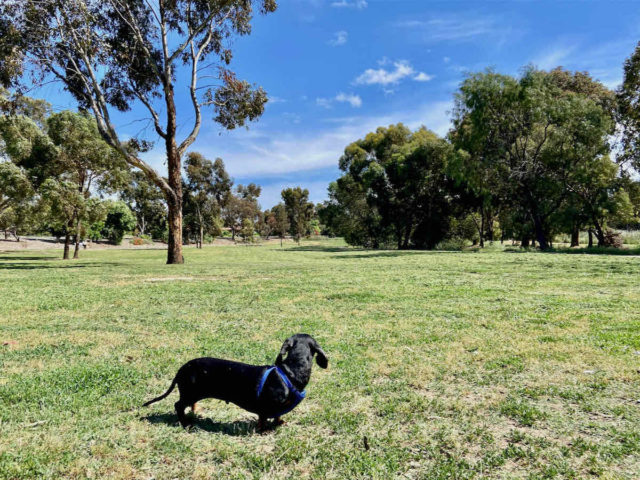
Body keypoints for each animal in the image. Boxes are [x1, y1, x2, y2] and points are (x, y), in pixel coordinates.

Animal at [142, 332, 328, 430]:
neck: (289, 372)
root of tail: (182, 368)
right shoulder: (264, 407)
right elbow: (263, 419)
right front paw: (263, 431)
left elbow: (278, 415)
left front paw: (279, 423)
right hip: (190, 392)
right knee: (178, 405)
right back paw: (186, 423)